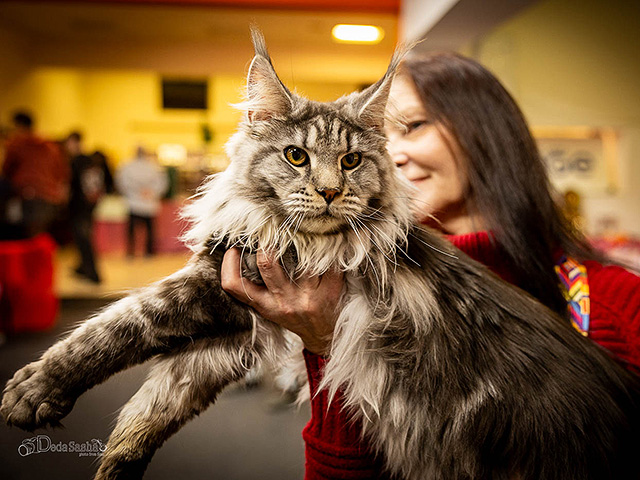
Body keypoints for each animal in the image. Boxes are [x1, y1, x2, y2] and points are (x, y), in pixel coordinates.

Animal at [3, 29, 640, 480]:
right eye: (296, 156)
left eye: (352, 161)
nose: (332, 190)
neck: (287, 232)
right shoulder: (237, 321)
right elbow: (157, 399)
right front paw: (116, 463)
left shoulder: (219, 291)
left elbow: (116, 327)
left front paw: (34, 389)